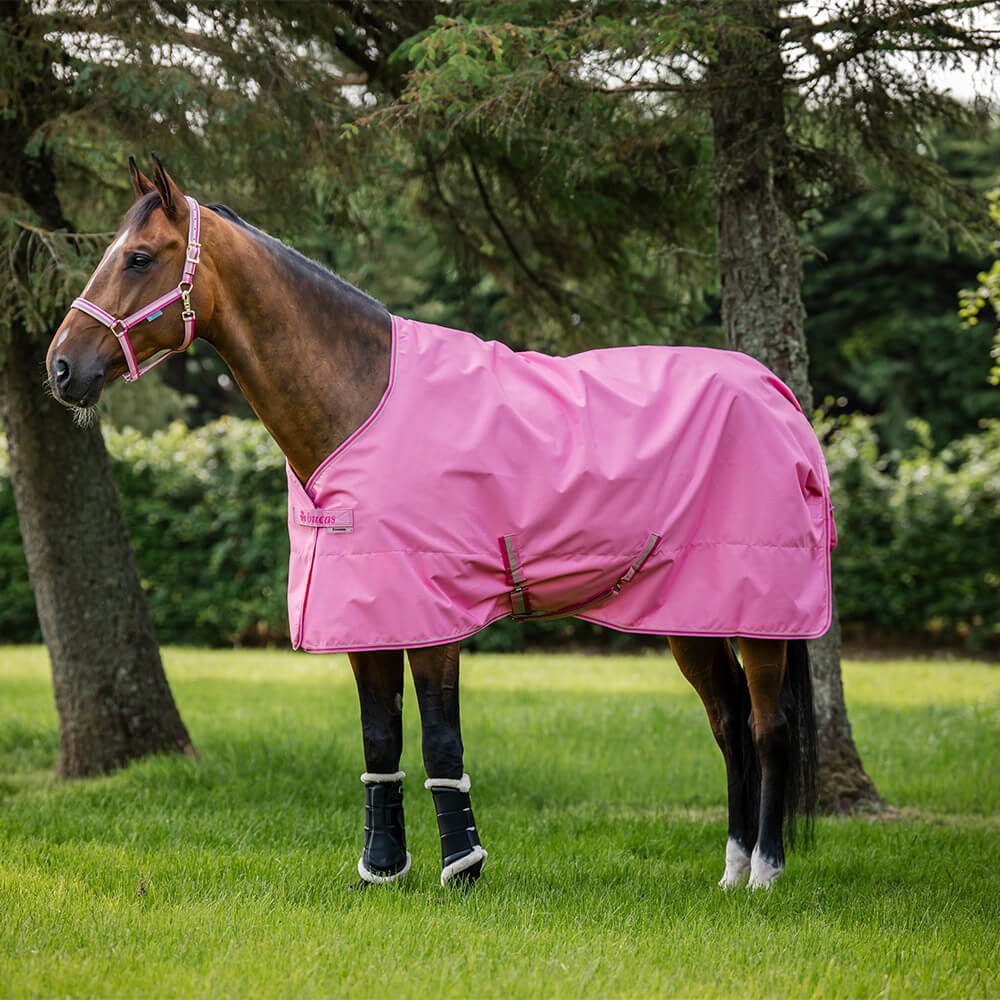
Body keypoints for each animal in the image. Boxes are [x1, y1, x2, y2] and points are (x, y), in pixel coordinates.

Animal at [46, 157, 827, 890]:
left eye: (139, 257)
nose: (60, 368)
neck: (361, 399)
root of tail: (776, 393)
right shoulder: (365, 618)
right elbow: (379, 740)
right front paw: (383, 867)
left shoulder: (433, 618)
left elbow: (440, 741)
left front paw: (463, 867)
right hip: (691, 615)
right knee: (728, 727)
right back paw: (730, 871)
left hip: (762, 617)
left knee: (767, 729)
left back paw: (765, 873)